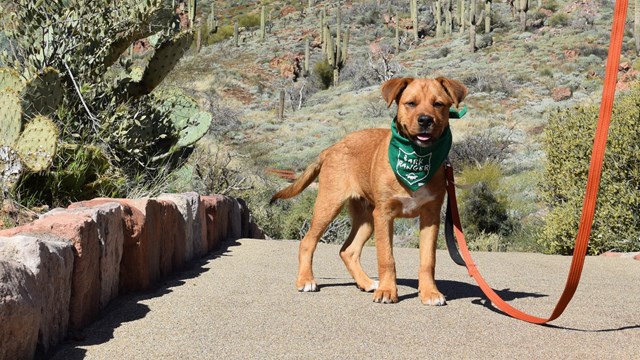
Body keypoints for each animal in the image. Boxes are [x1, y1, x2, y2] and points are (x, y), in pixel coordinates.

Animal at [268, 77, 464, 306]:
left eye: (438, 104)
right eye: (410, 103)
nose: (425, 120)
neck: (416, 156)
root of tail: (332, 147)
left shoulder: (430, 216)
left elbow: (428, 260)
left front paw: (430, 293)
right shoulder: (384, 214)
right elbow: (386, 257)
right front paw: (387, 291)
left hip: (367, 217)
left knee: (348, 251)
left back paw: (367, 283)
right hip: (330, 205)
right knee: (307, 242)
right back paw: (306, 280)